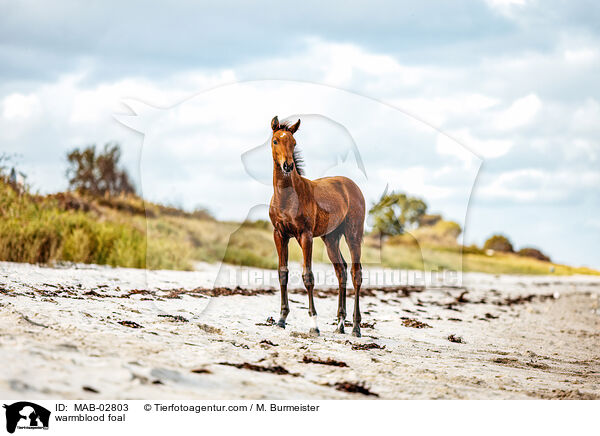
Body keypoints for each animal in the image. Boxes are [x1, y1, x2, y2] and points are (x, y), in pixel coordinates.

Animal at [268, 115, 366, 338]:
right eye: (276, 140)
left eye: (294, 143)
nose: (288, 166)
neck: (287, 197)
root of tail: (352, 186)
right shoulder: (279, 235)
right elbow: (283, 273)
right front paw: (281, 319)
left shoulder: (305, 236)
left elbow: (308, 277)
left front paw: (314, 325)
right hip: (331, 239)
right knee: (341, 271)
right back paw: (340, 324)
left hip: (353, 235)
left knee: (356, 274)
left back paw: (356, 327)